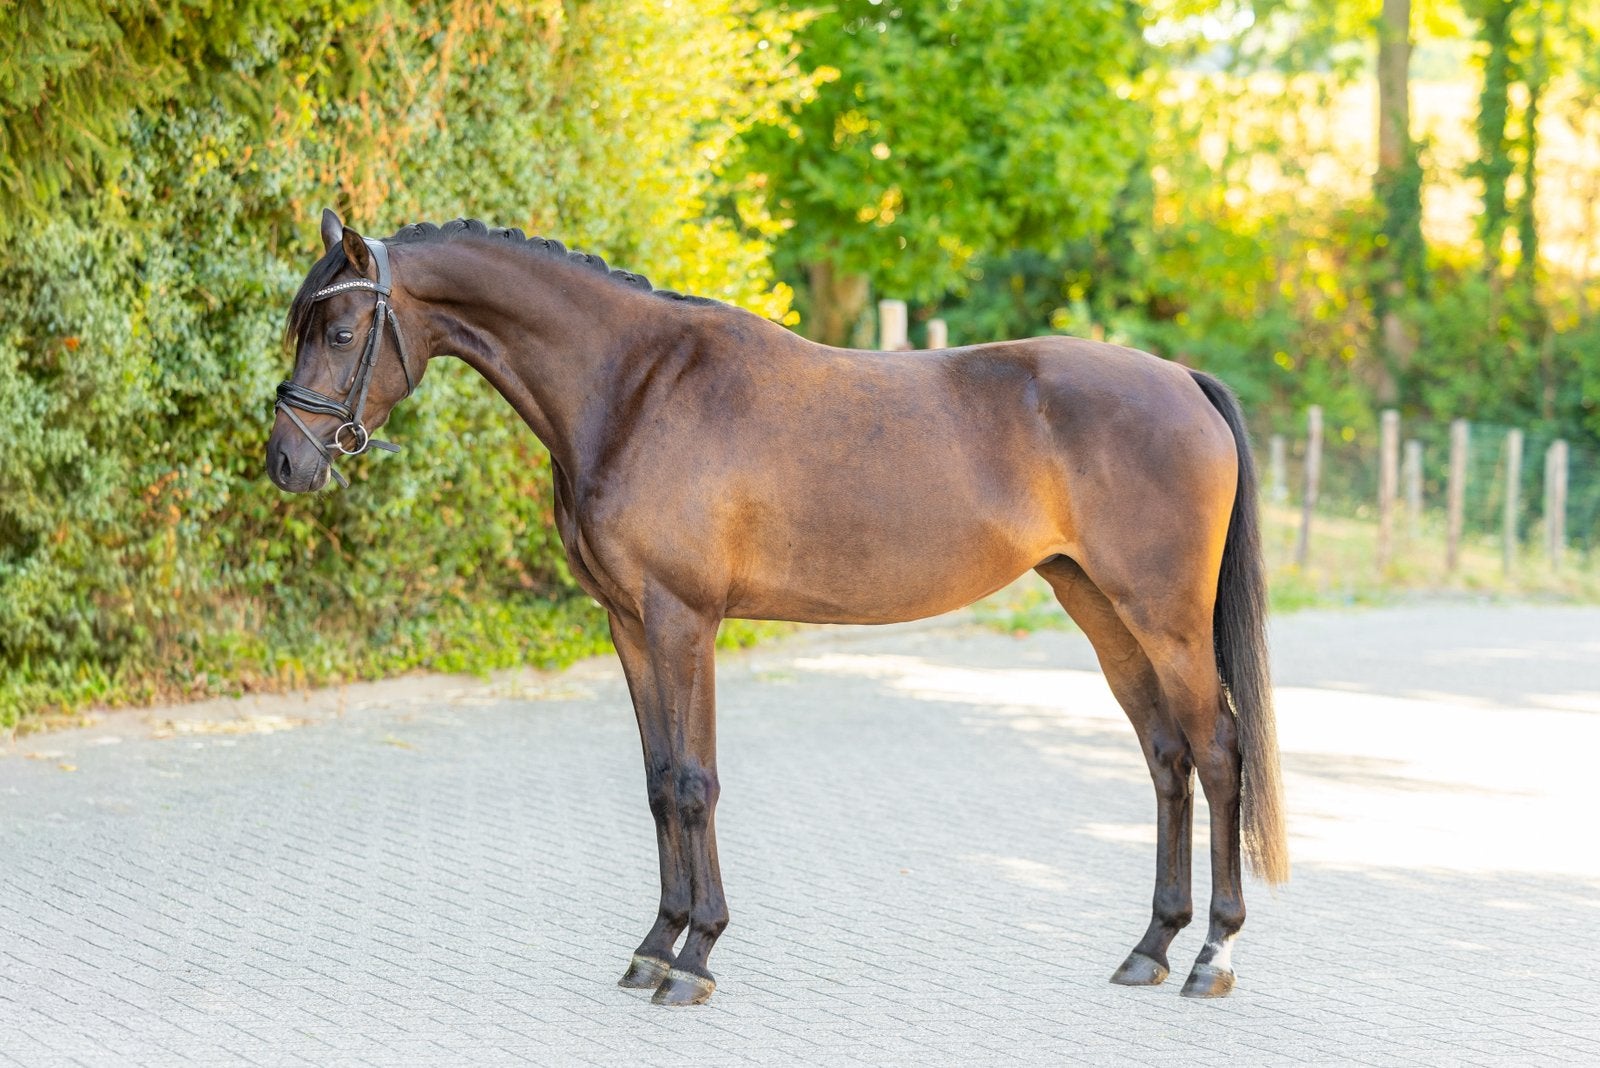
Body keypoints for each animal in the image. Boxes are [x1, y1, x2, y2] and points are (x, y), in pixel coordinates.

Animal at [266, 210, 1289, 1007]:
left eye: (343, 330)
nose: (286, 461)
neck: (633, 388)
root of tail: (1181, 380)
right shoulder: (628, 624)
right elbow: (658, 781)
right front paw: (654, 946)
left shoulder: (683, 620)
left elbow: (694, 781)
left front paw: (695, 957)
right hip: (1102, 610)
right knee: (1165, 757)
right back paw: (1150, 948)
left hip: (1164, 620)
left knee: (1216, 751)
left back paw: (1213, 954)